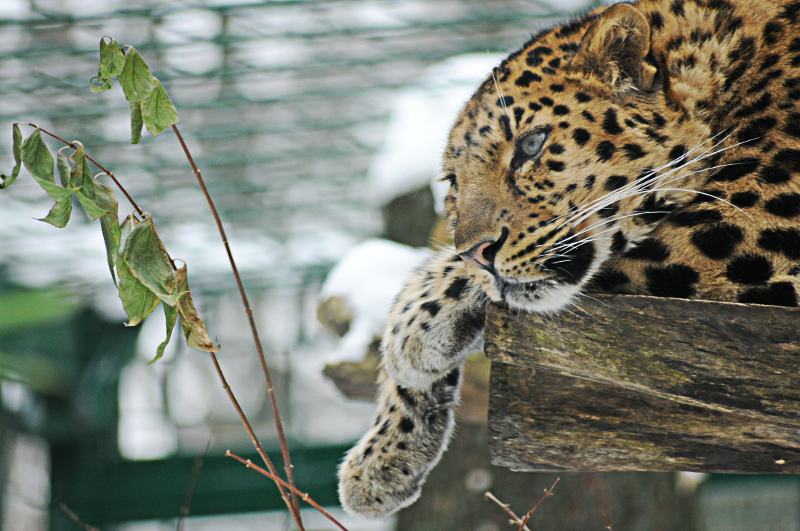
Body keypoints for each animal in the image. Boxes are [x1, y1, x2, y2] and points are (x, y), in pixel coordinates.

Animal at [339, 0, 800, 519]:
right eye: (453, 184)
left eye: (531, 145)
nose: (476, 252)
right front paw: (381, 456)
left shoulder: (751, 221)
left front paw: (408, 334)